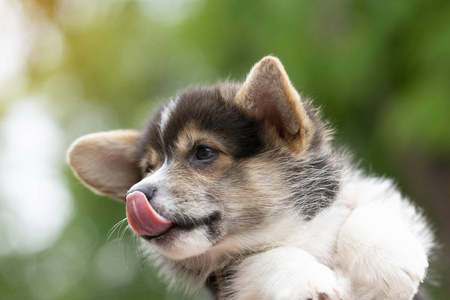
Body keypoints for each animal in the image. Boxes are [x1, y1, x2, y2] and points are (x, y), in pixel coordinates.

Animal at [66, 56, 432, 300]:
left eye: (203, 152)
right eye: (147, 169)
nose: (135, 194)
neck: (288, 231)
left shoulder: (367, 199)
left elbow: (368, 209)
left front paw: (389, 263)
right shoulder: (233, 276)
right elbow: (261, 259)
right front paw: (310, 282)